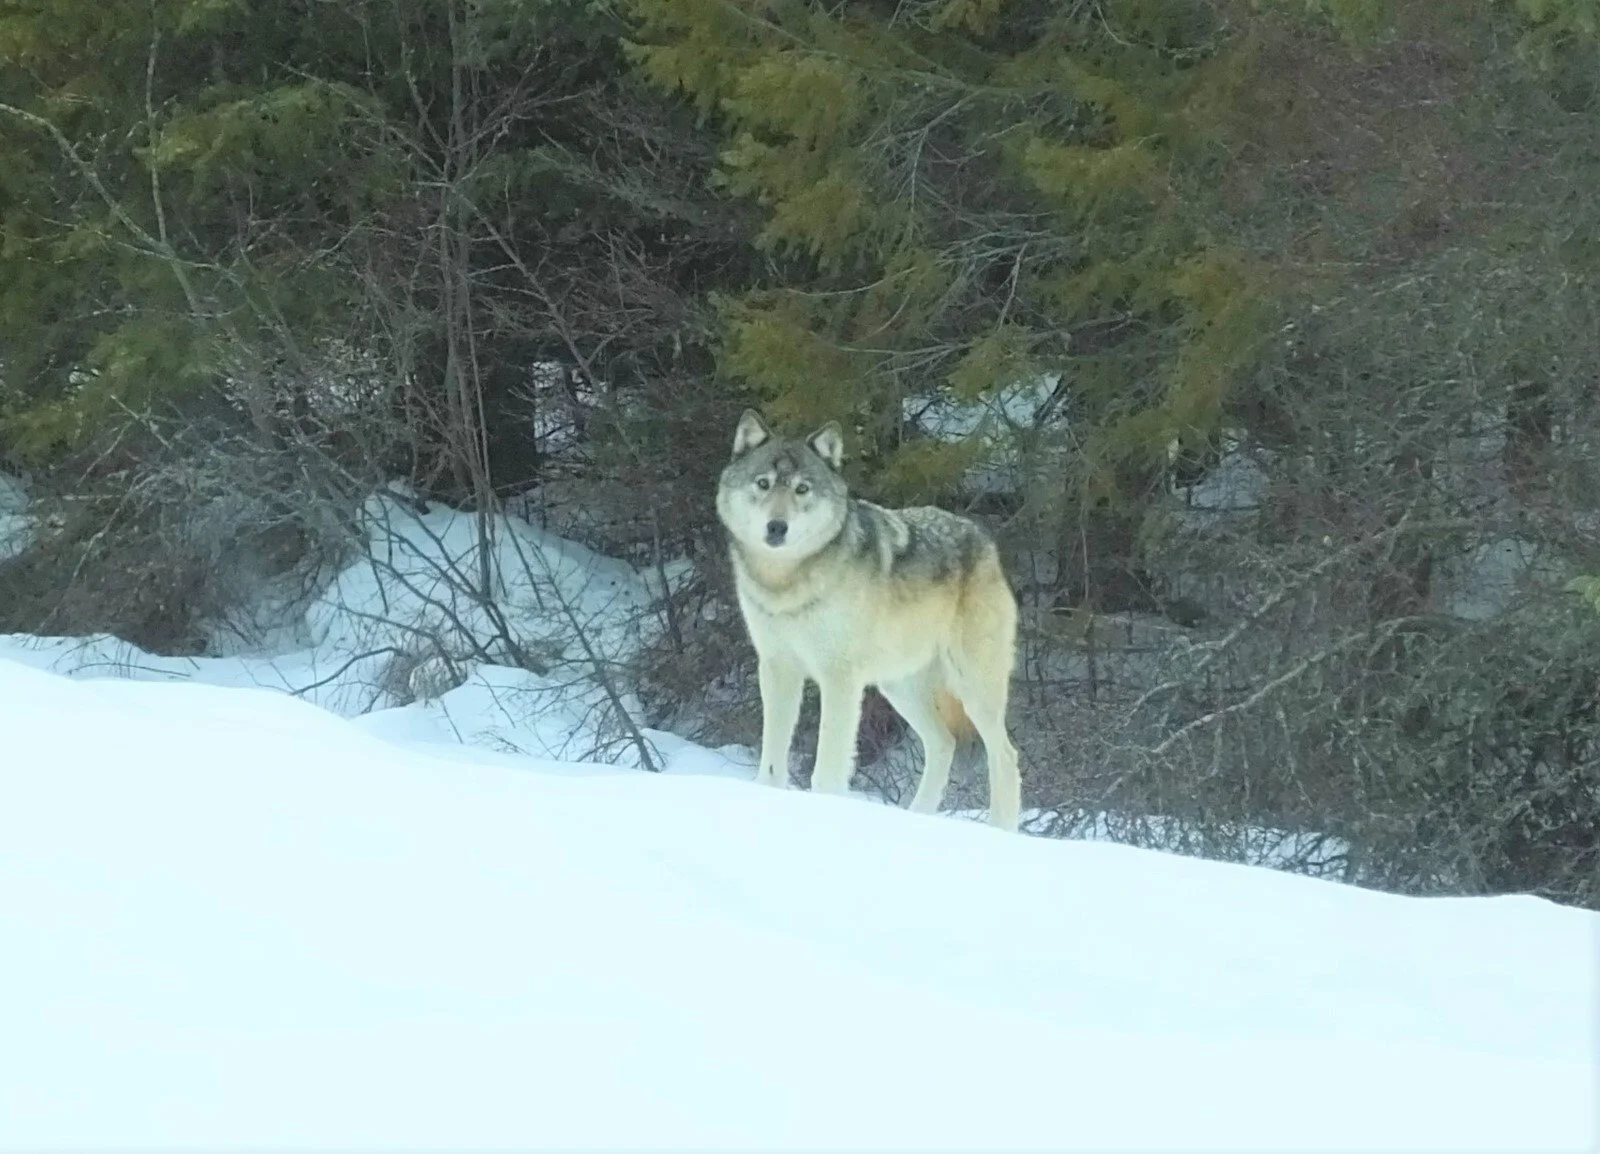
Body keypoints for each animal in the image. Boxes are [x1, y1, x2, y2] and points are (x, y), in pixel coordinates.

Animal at [716, 409, 1022, 832]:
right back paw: (916, 820)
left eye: (802, 489)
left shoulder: (838, 678)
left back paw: (1000, 831)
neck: (786, 581)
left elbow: (827, 768)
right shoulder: (777, 668)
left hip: (973, 690)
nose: (777, 527)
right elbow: (773, 762)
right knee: (943, 743)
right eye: (763, 484)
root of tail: (984, 539)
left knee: (1005, 757)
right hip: (899, 687)